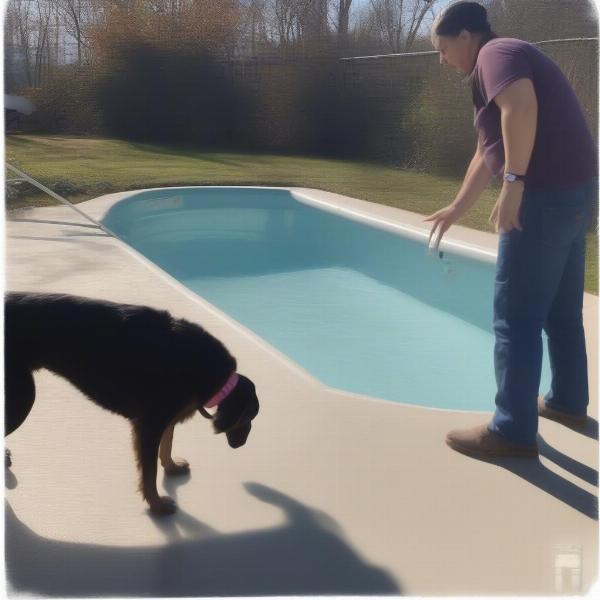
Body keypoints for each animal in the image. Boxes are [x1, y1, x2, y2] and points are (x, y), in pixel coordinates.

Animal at [4, 292, 258, 516]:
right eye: (248, 419)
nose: (241, 444)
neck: (208, 369)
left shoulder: (165, 417)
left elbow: (167, 443)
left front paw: (171, 466)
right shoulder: (149, 424)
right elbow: (149, 472)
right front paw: (157, 506)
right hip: (22, 396)